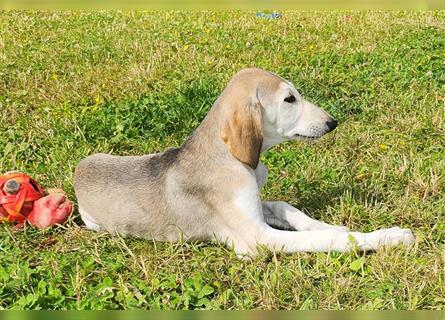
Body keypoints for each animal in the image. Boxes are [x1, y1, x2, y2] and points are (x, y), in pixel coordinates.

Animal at [73, 69, 416, 256]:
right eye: (289, 99)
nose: (332, 123)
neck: (233, 159)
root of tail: (78, 170)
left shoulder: (256, 206)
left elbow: (288, 208)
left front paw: (335, 223)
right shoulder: (256, 238)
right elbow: (328, 238)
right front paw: (387, 237)